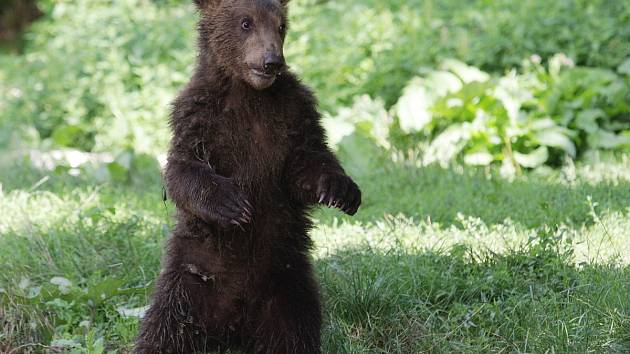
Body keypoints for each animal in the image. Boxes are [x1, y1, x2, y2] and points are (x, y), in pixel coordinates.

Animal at [135, 0, 362, 354]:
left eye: (281, 26)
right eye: (245, 22)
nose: (272, 62)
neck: (247, 92)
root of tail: (231, 329)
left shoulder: (293, 113)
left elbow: (307, 159)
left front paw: (341, 190)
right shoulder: (198, 114)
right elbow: (183, 169)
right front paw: (232, 204)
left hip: (287, 283)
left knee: (294, 332)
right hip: (190, 279)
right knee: (167, 328)